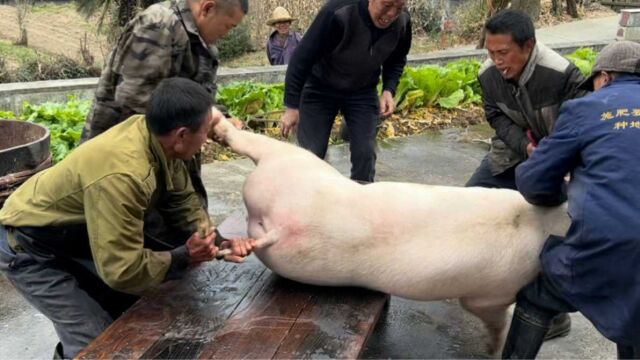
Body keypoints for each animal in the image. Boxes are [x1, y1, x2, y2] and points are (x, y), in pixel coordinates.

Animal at [212, 119, 572, 354]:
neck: (543, 223)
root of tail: (279, 224)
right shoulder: (495, 290)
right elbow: (492, 315)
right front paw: (492, 350)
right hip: (298, 164)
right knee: (259, 143)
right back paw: (219, 122)